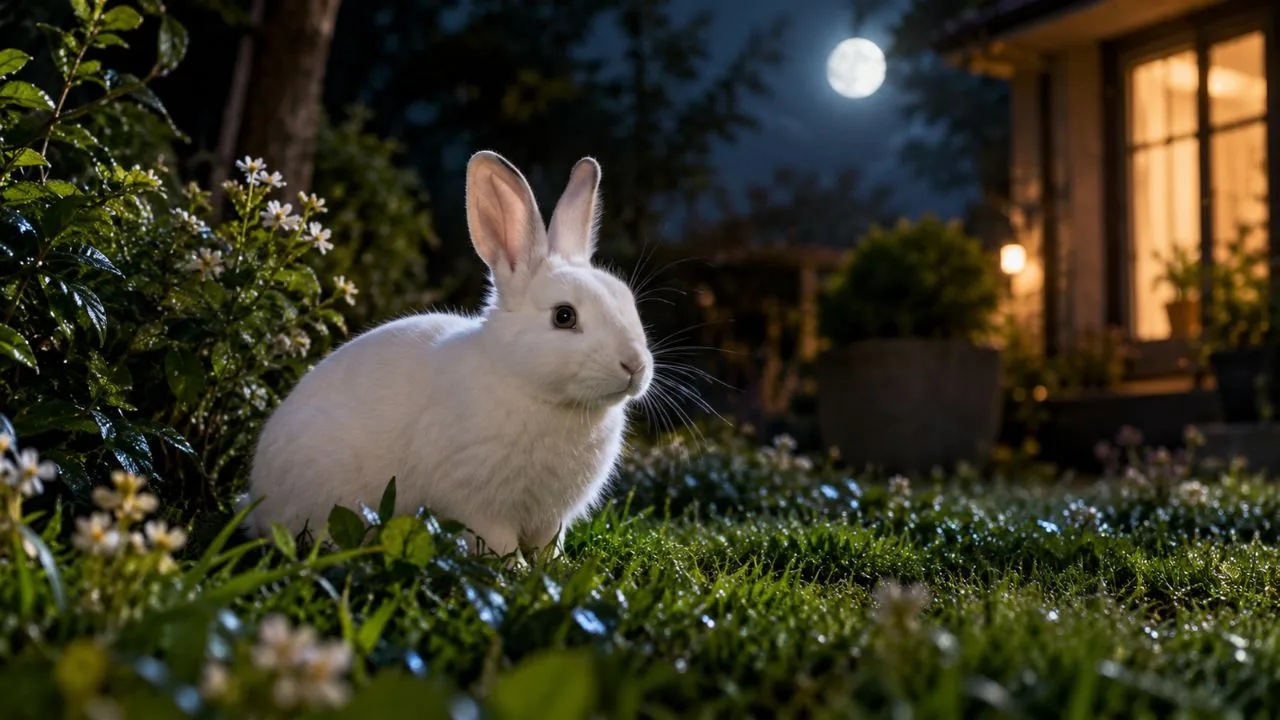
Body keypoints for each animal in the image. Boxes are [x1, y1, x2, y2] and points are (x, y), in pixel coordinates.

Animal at [243, 150, 653, 561]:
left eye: (627, 301)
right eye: (564, 316)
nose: (634, 365)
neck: (529, 388)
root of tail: (257, 496)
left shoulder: (550, 519)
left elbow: (547, 546)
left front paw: (554, 566)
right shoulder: (478, 506)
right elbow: (499, 544)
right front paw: (517, 570)